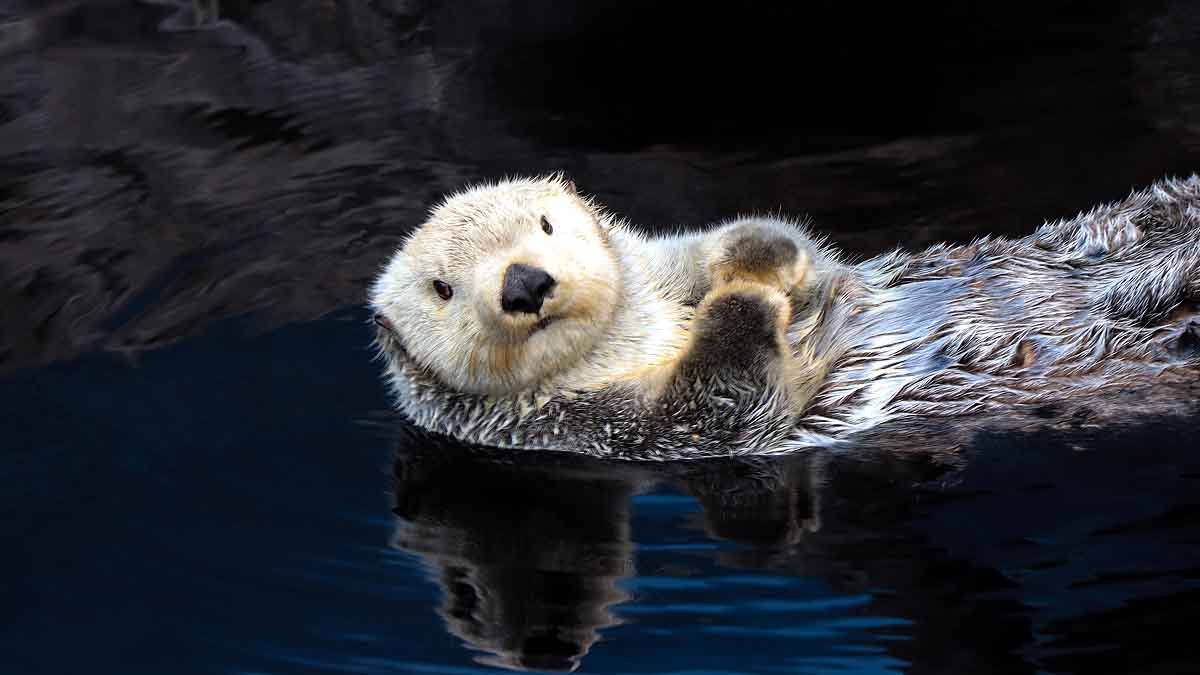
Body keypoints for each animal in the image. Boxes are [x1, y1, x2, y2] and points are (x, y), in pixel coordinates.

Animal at [369, 175, 1200, 459]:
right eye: (443, 287)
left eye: (544, 224)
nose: (524, 283)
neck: (628, 338)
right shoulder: (590, 430)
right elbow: (721, 408)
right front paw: (743, 304)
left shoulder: (664, 265)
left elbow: (786, 253)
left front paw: (755, 257)